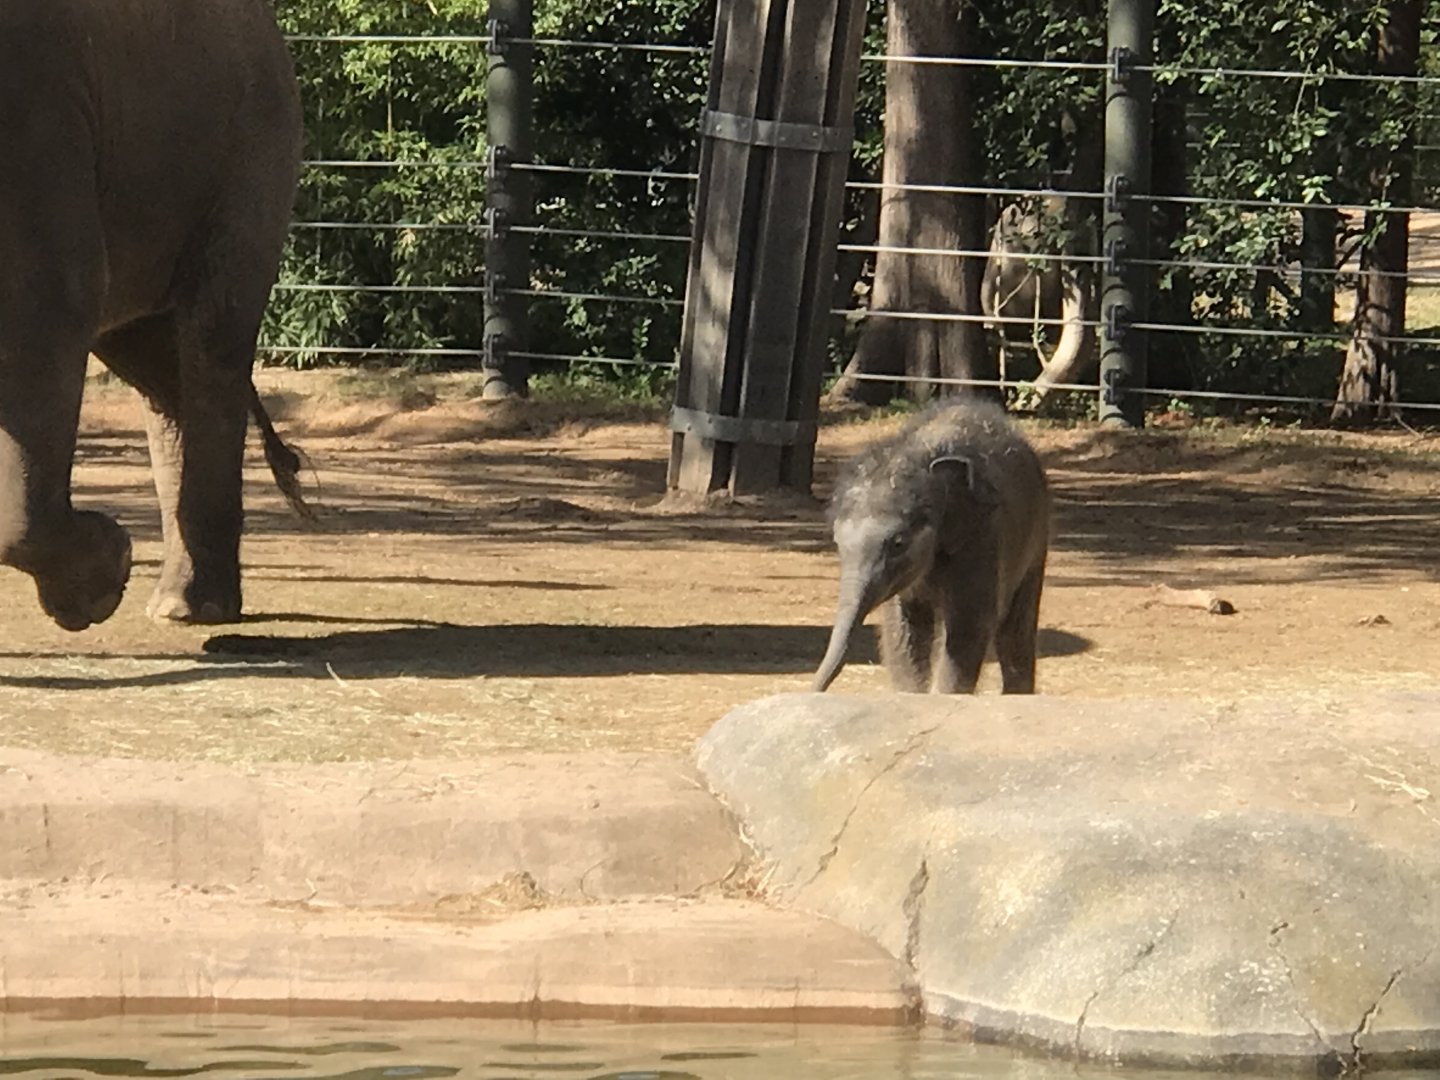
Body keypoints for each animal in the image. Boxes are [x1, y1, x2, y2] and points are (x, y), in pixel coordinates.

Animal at [0, 0, 307, 631]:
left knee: (210, 344)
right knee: (158, 371)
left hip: (251, 149)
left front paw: (102, 576)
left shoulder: (36, 104)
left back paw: (194, 607)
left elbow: (53, 302)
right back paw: (180, 601)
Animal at [813, 398, 1051, 694]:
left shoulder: (982, 537)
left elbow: (968, 628)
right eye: (837, 542)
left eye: (898, 543)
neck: (921, 454)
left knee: (1015, 633)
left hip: (1035, 543)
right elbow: (902, 632)